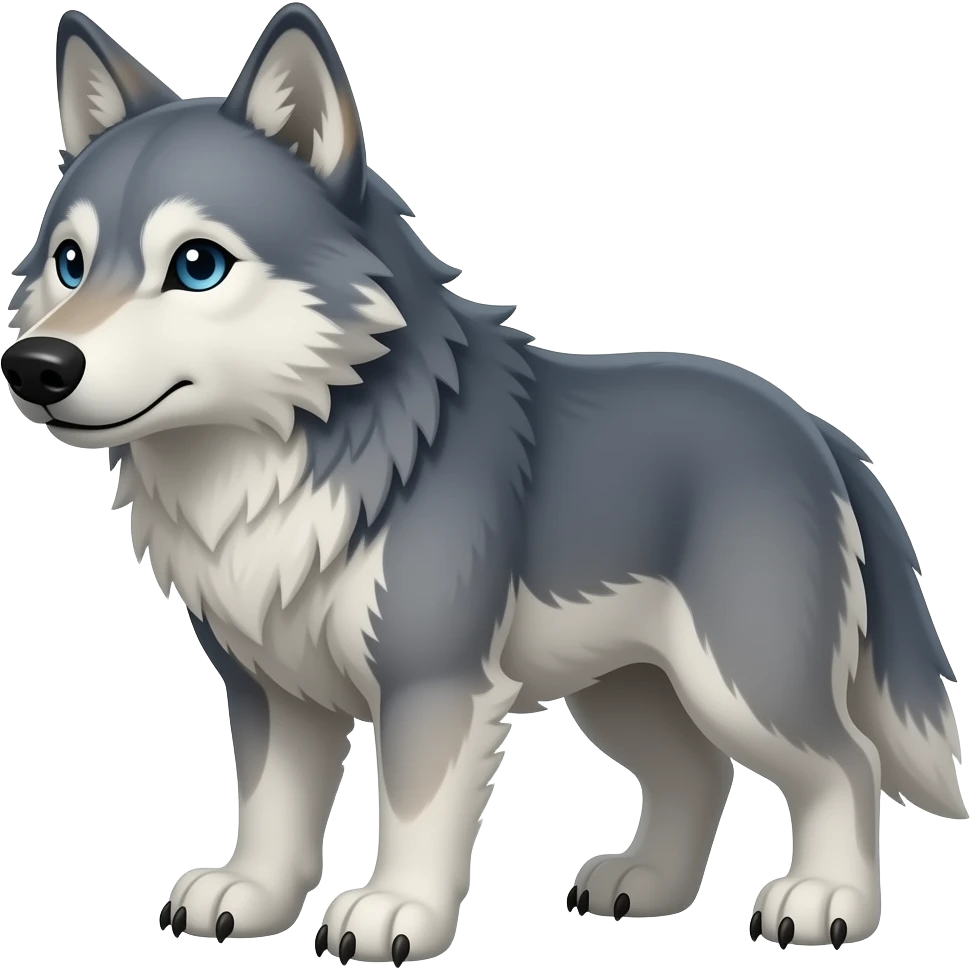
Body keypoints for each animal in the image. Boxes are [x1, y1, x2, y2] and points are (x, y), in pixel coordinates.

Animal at [2, 3, 964, 961]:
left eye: (197, 264)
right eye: (71, 262)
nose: (36, 366)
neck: (268, 466)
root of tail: (811, 425)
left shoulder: (435, 680)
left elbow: (414, 807)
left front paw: (394, 911)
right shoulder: (271, 686)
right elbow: (272, 807)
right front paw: (252, 895)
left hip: (740, 682)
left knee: (846, 763)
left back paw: (827, 899)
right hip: (627, 691)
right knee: (697, 771)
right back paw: (646, 883)